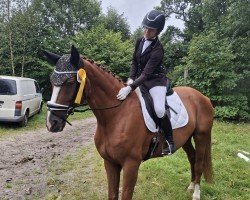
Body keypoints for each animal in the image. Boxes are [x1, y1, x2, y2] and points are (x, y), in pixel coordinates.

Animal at [44, 46, 214, 200]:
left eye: (71, 81)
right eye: (51, 81)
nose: (52, 123)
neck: (116, 115)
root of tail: (203, 97)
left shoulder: (131, 165)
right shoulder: (110, 163)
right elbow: (112, 194)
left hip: (201, 136)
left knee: (199, 162)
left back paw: (196, 194)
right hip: (186, 138)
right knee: (192, 157)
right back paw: (190, 186)